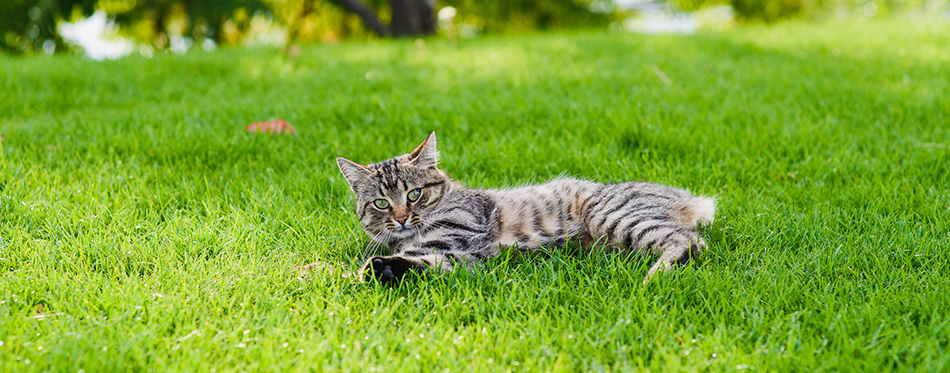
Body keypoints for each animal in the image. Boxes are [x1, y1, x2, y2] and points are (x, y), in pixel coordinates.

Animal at [334, 132, 712, 284]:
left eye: (413, 194)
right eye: (381, 203)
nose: (401, 219)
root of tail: (690, 198)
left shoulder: (453, 234)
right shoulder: (466, 258)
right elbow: (422, 262)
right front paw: (383, 270)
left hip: (613, 217)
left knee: (688, 243)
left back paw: (652, 277)